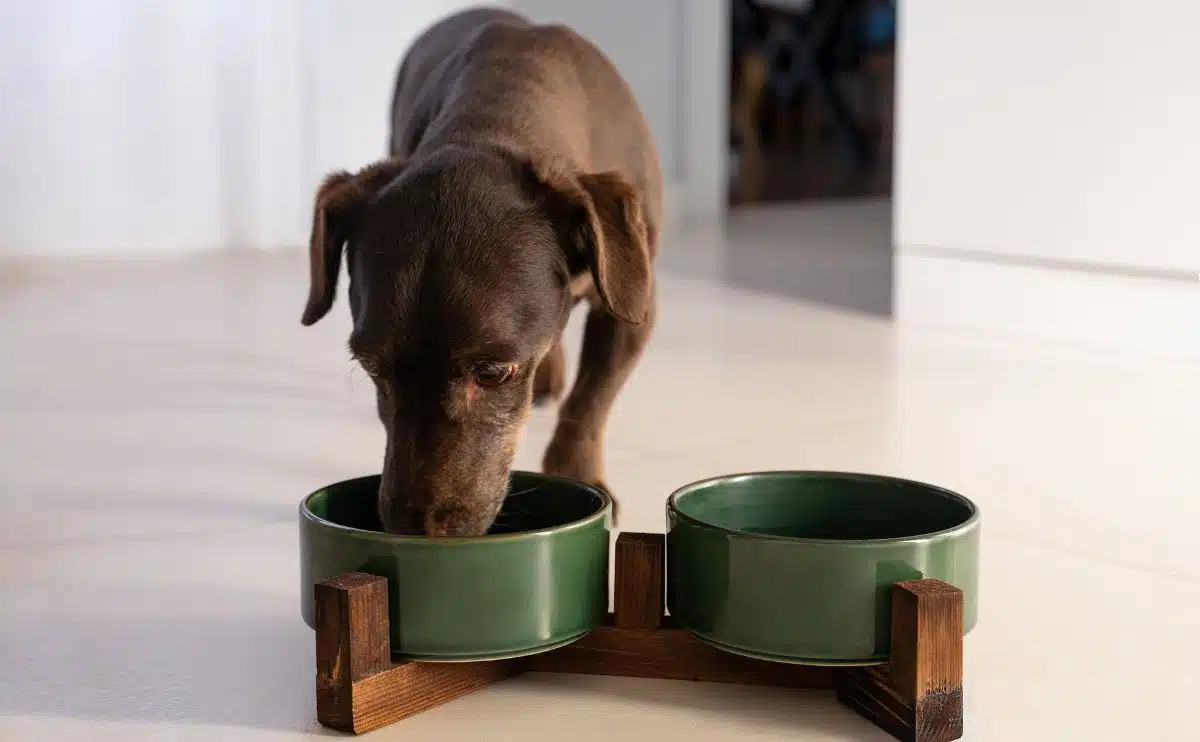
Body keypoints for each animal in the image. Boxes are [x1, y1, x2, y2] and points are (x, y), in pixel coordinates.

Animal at [297, 7, 657, 537]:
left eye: (492, 373)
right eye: (371, 368)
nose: (414, 530)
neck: (497, 120)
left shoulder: (632, 305)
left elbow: (588, 403)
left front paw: (580, 474)